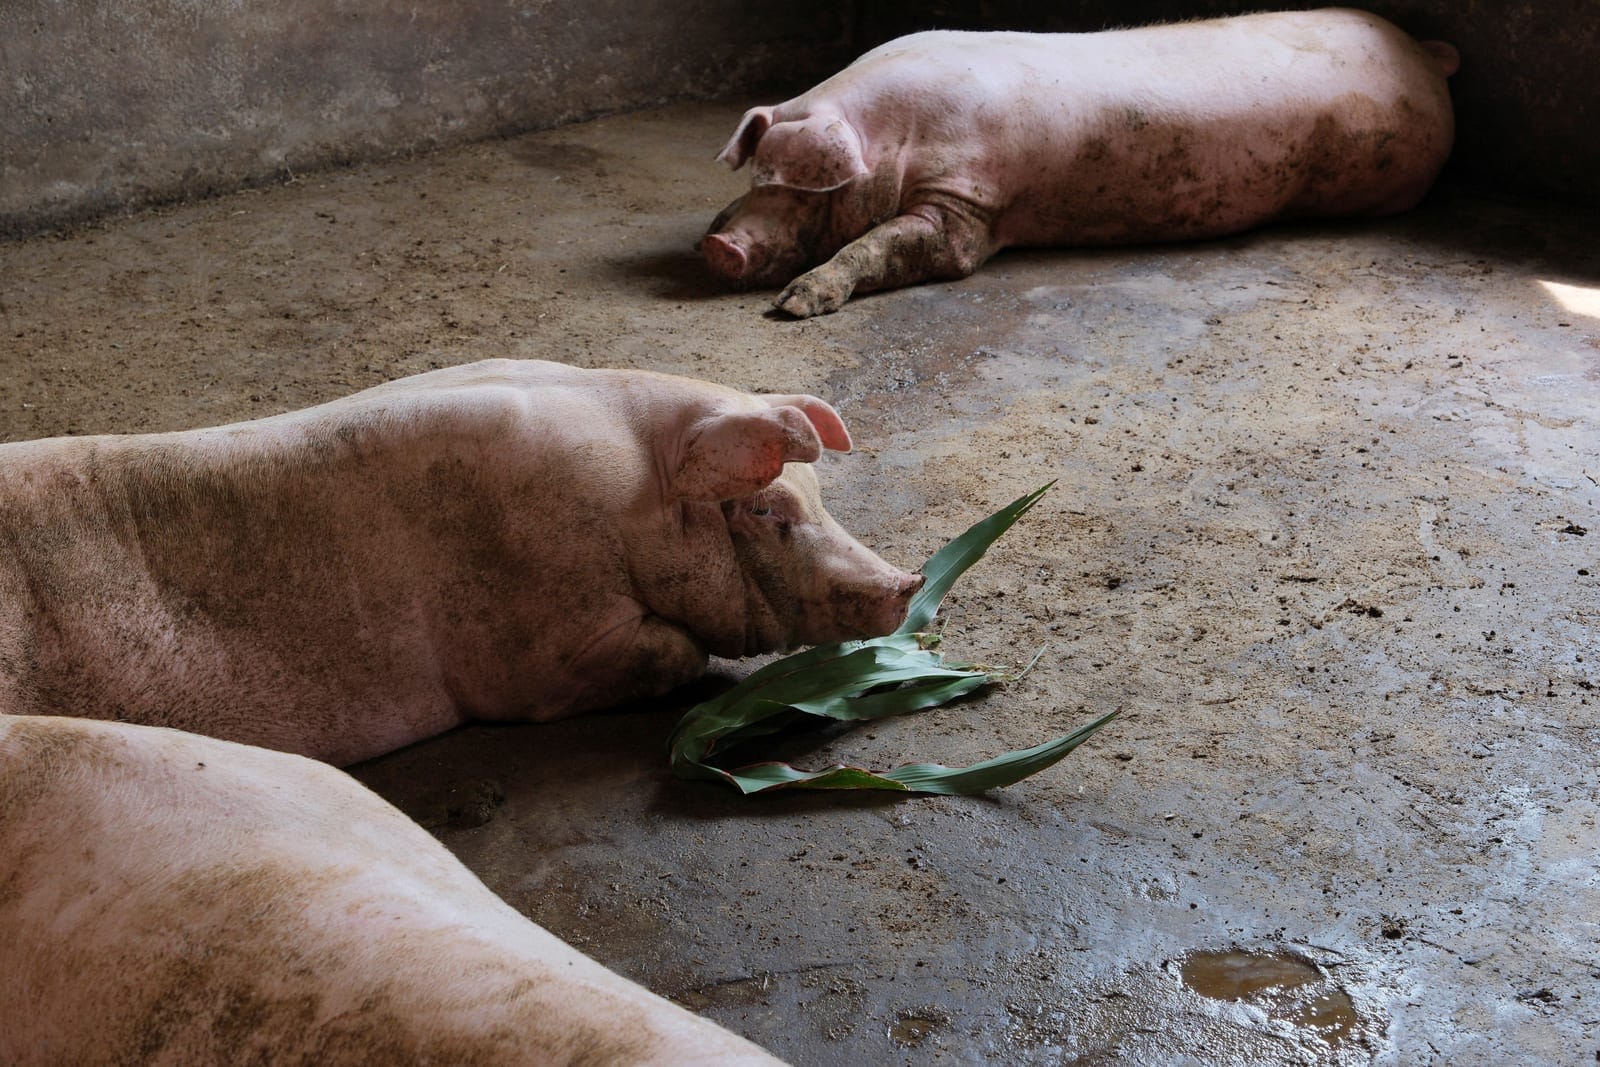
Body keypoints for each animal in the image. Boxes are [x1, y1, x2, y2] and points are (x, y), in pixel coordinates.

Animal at [0, 359, 922, 765]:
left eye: (818, 492)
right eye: (767, 511)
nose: (909, 585)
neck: (634, 499)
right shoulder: (534, 651)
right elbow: (676, 650)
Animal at [700, 8, 1458, 317]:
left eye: (804, 191)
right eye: (759, 178)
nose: (719, 248)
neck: (896, 137)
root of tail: (1425, 55)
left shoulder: (968, 207)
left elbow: (889, 244)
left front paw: (794, 306)